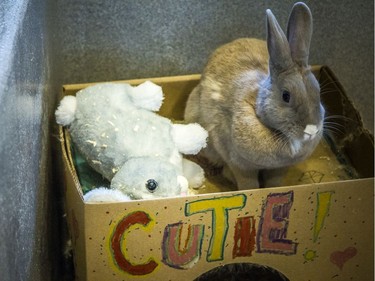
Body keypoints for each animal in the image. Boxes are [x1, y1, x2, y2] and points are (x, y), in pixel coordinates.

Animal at [184, 2, 324, 189]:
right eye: (286, 96)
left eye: (318, 91)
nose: (312, 130)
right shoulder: (239, 164)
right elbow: (248, 184)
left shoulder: (280, 169)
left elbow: (275, 182)